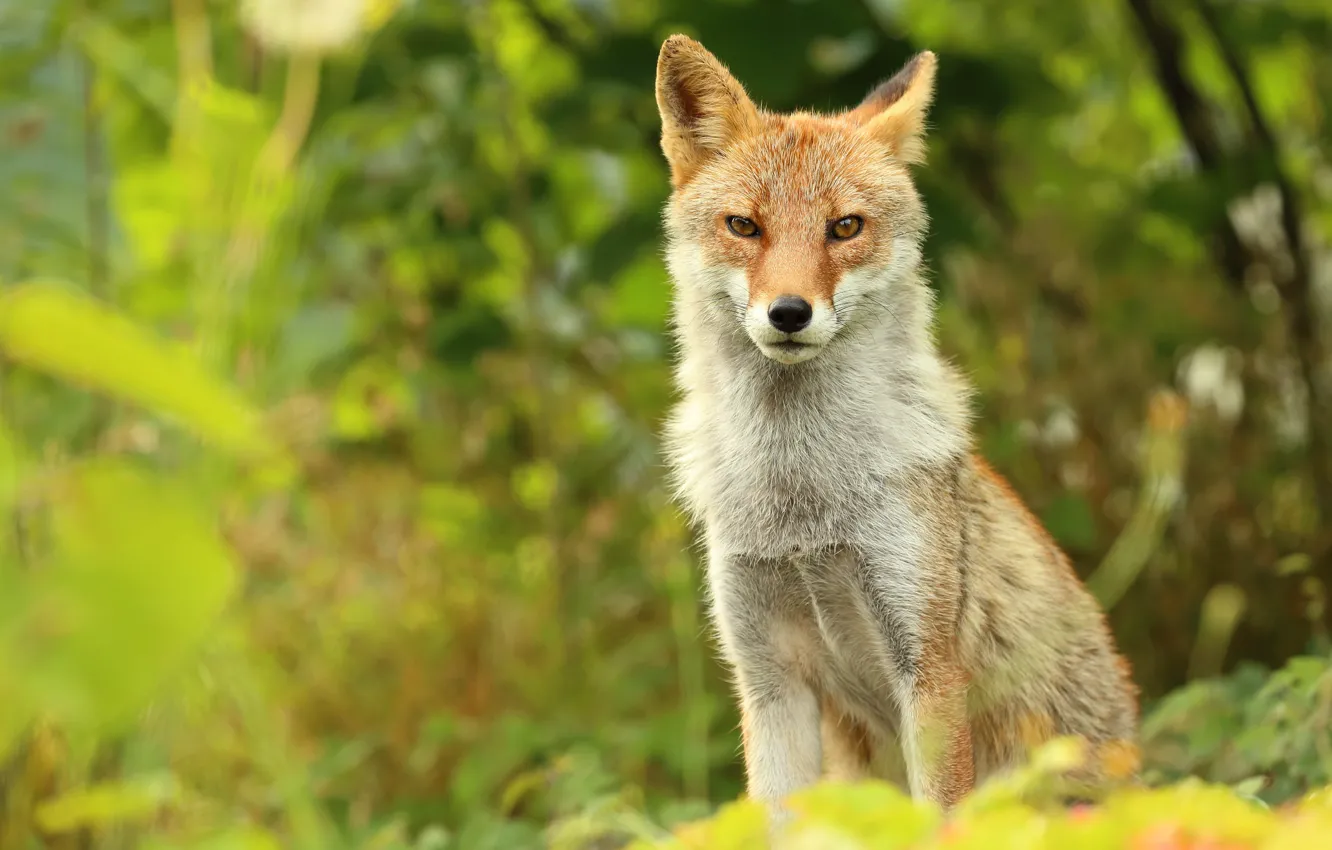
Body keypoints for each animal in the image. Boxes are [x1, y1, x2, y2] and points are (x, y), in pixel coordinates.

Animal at [650, 36, 1140, 820]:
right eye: (744, 226)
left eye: (845, 227)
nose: (789, 313)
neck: (803, 507)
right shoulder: (768, 678)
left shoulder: (928, 669)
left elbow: (941, 818)